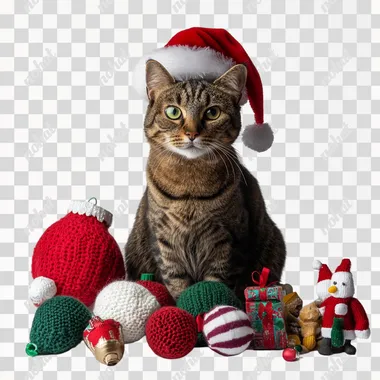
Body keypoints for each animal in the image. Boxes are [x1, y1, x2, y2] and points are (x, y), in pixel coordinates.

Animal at [124, 59, 284, 302]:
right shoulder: (164, 241)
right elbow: (176, 282)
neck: (189, 184)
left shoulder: (228, 241)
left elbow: (217, 283)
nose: (192, 133)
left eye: (212, 113)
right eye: (173, 112)